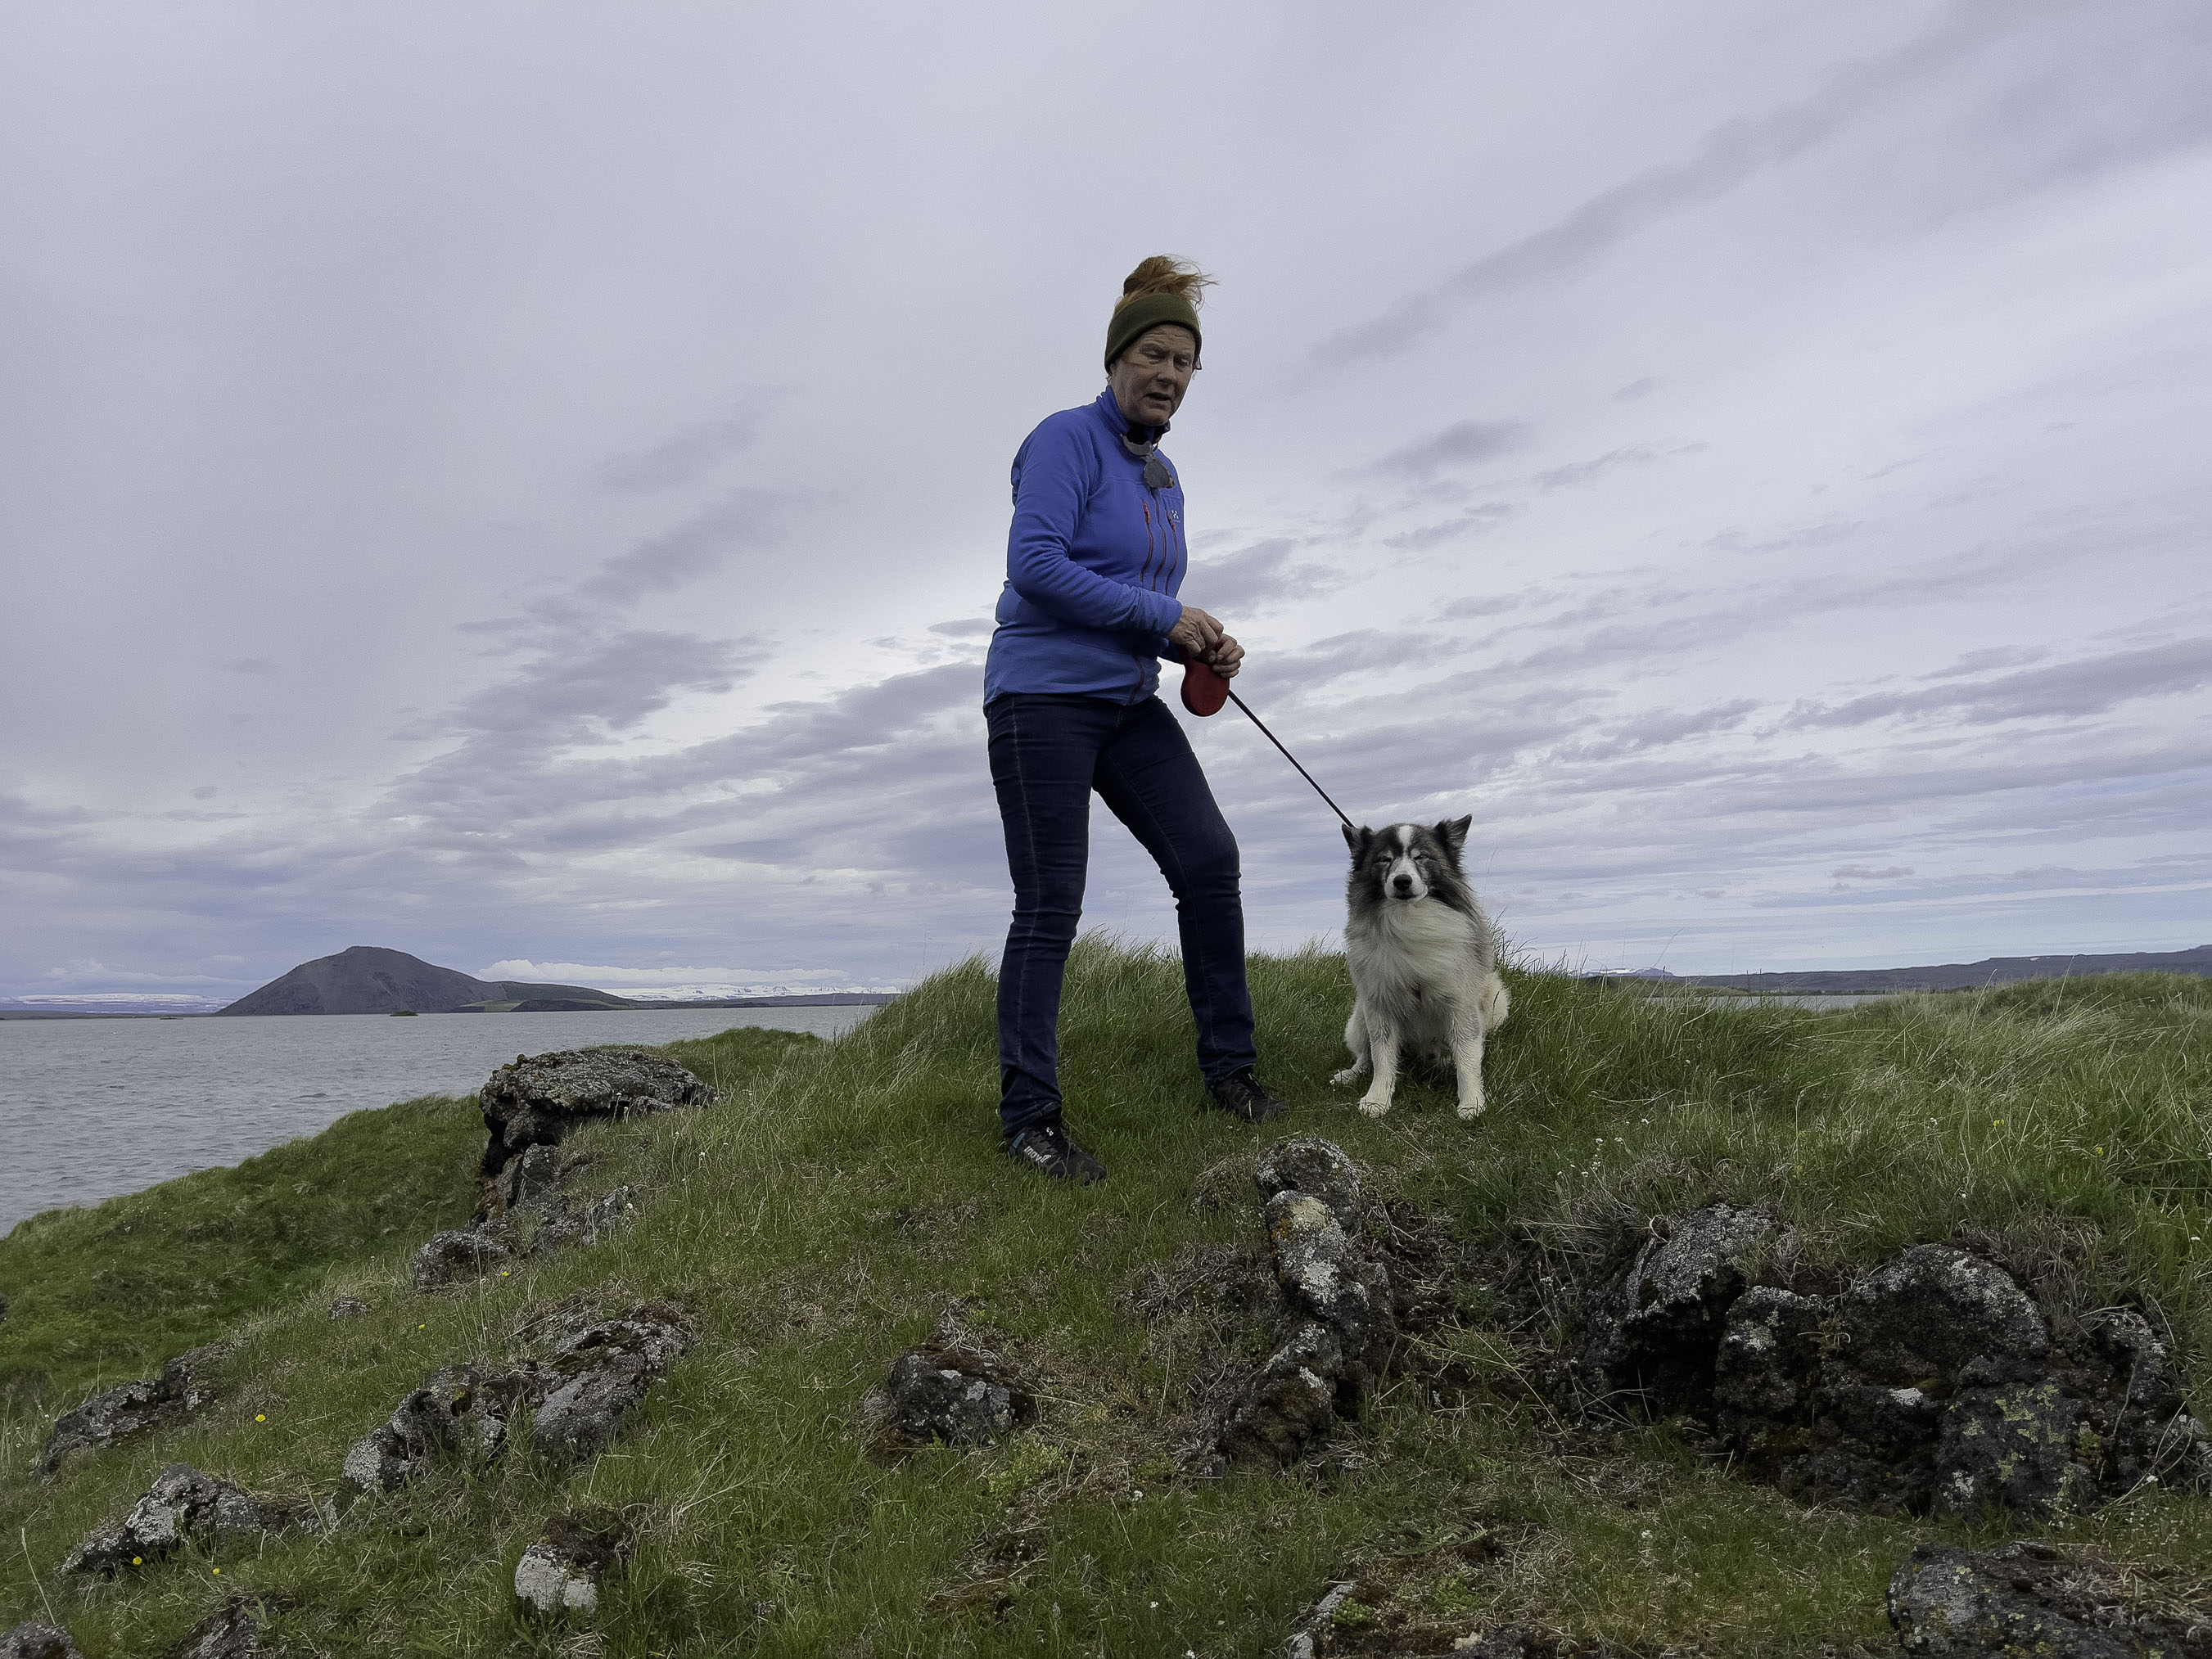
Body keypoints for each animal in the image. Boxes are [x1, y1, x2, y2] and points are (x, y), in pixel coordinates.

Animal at [1331, 817, 1509, 1119]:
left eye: (1421, 857)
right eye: (1384, 859)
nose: (1402, 881)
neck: (1410, 919)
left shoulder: (1460, 1003)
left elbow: (1467, 1055)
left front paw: (1471, 1102)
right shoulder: (1379, 1002)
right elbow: (1381, 1056)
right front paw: (1377, 1100)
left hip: (1493, 999)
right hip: (1360, 1015)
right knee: (1365, 1056)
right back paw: (1350, 1075)